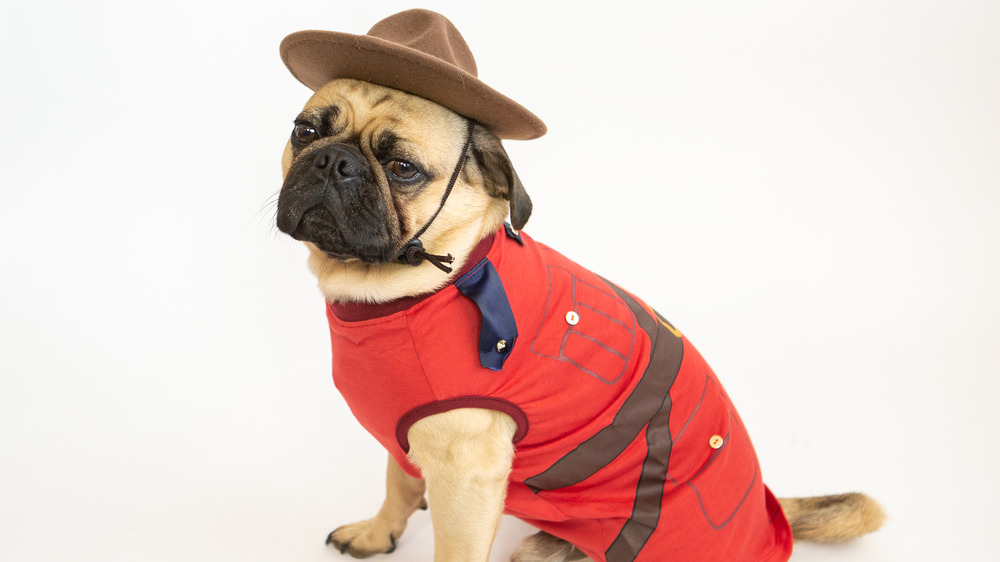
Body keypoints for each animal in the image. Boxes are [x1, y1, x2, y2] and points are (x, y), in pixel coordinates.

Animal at [274, 8, 884, 560]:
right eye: (306, 131)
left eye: (402, 168)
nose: (334, 161)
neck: (426, 285)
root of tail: (765, 508)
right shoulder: (405, 443)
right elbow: (398, 486)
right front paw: (378, 533)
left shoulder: (465, 474)